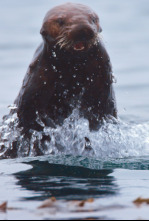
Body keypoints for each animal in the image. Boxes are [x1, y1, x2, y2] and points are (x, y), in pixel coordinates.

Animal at [12, 2, 117, 137]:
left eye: (93, 19)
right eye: (60, 21)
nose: (82, 28)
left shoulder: (101, 75)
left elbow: (100, 109)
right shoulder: (37, 79)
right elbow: (29, 114)